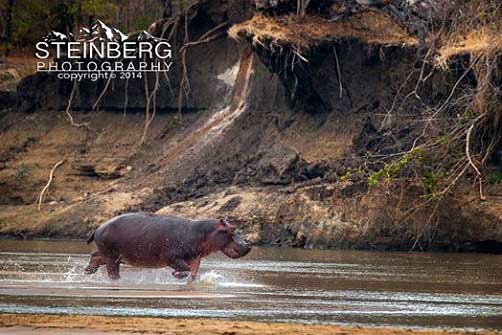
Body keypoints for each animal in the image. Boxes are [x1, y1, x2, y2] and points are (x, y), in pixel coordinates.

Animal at [84, 215, 253, 280]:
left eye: (234, 228)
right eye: (230, 230)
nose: (248, 245)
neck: (202, 232)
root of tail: (98, 227)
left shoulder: (195, 258)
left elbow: (193, 272)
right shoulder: (172, 258)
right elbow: (184, 269)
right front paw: (176, 274)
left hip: (113, 255)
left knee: (95, 255)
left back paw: (88, 271)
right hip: (112, 256)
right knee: (112, 271)